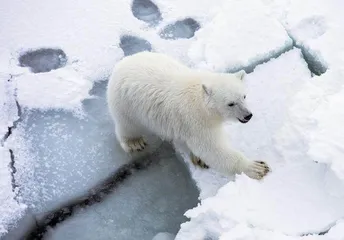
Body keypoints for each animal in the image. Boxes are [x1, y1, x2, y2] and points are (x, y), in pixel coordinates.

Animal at [106, 52, 270, 180]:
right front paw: (257, 167)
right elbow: (212, 148)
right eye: (230, 103)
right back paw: (135, 142)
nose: (248, 115)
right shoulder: (196, 119)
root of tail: (121, 63)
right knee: (127, 124)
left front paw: (199, 159)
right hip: (126, 103)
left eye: (244, 96)